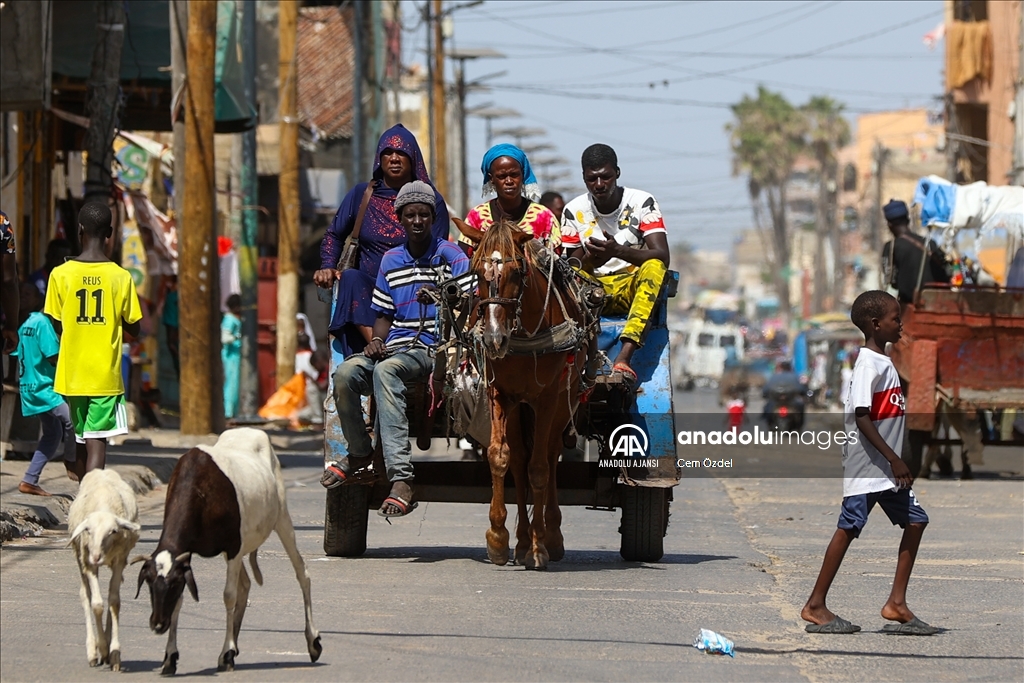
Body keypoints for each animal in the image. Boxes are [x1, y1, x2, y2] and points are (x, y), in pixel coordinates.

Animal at [66, 466, 141, 671]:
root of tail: (100, 470)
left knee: (111, 594)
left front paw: (113, 653)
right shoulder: (88, 563)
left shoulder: (120, 560)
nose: (96, 556)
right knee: (86, 595)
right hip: (80, 558)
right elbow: (97, 605)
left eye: (113, 531)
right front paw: (102, 648)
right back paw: (93, 651)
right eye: (88, 531)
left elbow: (114, 602)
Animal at [131, 430, 319, 675]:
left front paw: (226, 654)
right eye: (149, 582)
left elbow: (229, 596)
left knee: (301, 573)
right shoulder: (187, 553)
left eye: (173, 584)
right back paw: (234, 646)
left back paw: (313, 641)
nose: (157, 624)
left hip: (282, 518)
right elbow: (181, 602)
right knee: (246, 585)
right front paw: (170, 657)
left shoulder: (233, 547)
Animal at [454, 219, 589, 573]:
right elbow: (500, 457)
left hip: (564, 401)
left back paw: (549, 538)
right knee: (518, 459)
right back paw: (522, 540)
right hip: (518, 407)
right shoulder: (499, 393)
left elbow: (539, 469)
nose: (494, 339)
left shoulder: (547, 399)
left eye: (517, 273)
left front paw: (539, 548)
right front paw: (498, 538)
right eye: (477, 271)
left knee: (549, 457)